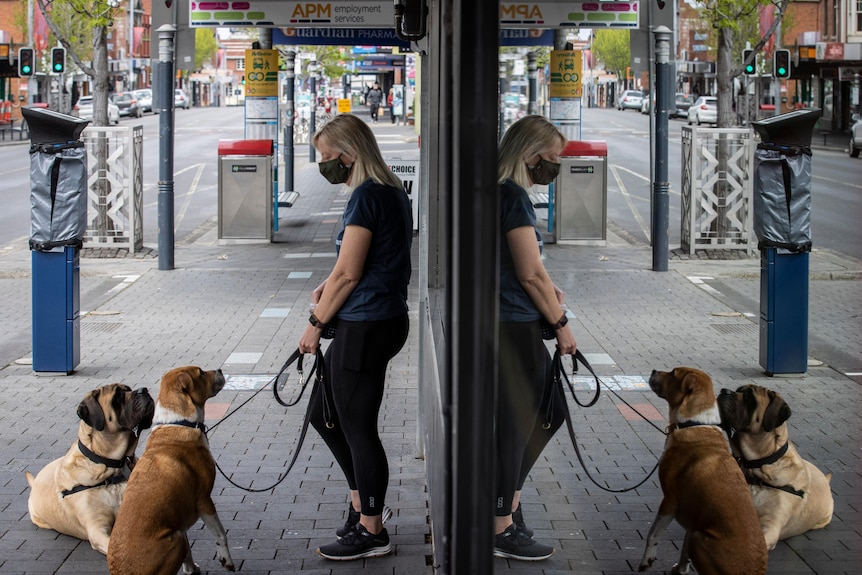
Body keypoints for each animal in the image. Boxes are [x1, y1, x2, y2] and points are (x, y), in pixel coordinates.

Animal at [108, 368, 236, 575]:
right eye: (201, 372)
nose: (219, 370)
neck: (179, 422)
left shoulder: (179, 516)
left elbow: (189, 549)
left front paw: (191, 567)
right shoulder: (204, 500)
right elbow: (220, 534)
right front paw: (226, 559)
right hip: (174, 539)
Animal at [640, 368, 768, 575]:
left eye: (673, 373)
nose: (653, 371)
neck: (694, 422)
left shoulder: (670, 500)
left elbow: (653, 534)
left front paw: (647, 559)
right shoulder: (694, 519)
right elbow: (684, 550)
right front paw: (681, 568)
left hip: (700, 539)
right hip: (697, 534)